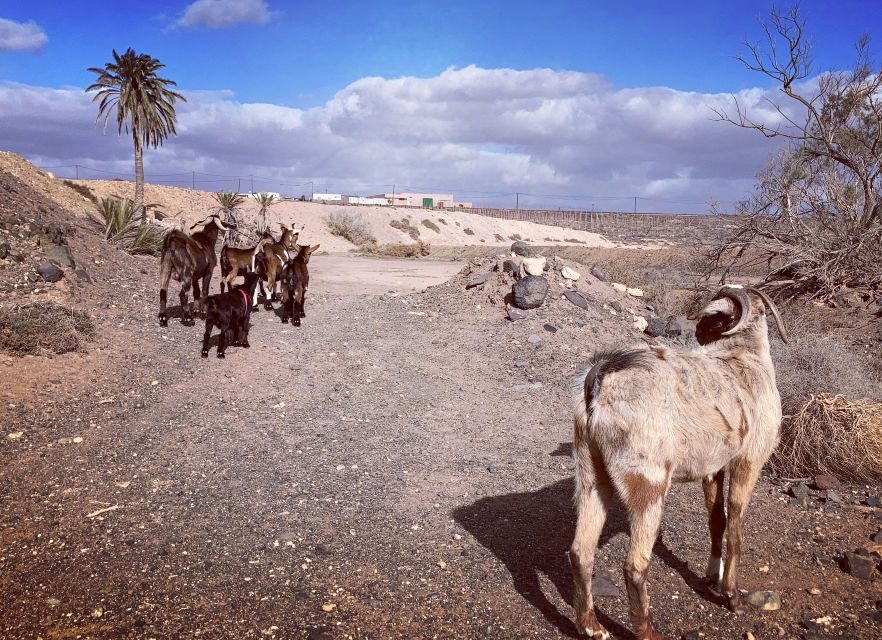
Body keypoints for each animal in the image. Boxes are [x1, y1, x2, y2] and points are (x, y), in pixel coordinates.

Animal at [568, 285, 788, 640]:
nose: (697, 331)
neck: (745, 359)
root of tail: (599, 382)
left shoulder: (712, 468)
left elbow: (716, 521)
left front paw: (712, 576)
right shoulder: (749, 461)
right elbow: (735, 529)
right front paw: (732, 596)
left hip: (591, 472)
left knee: (580, 552)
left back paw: (591, 626)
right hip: (648, 483)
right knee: (635, 565)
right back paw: (646, 631)